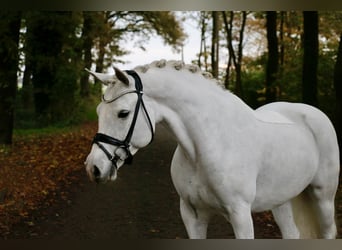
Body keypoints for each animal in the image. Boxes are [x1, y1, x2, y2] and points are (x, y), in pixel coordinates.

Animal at [85, 59, 340, 238]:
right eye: (98, 112)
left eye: (123, 113)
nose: (93, 168)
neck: (206, 146)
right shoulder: (192, 215)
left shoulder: (240, 215)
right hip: (281, 201)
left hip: (323, 197)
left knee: (328, 232)